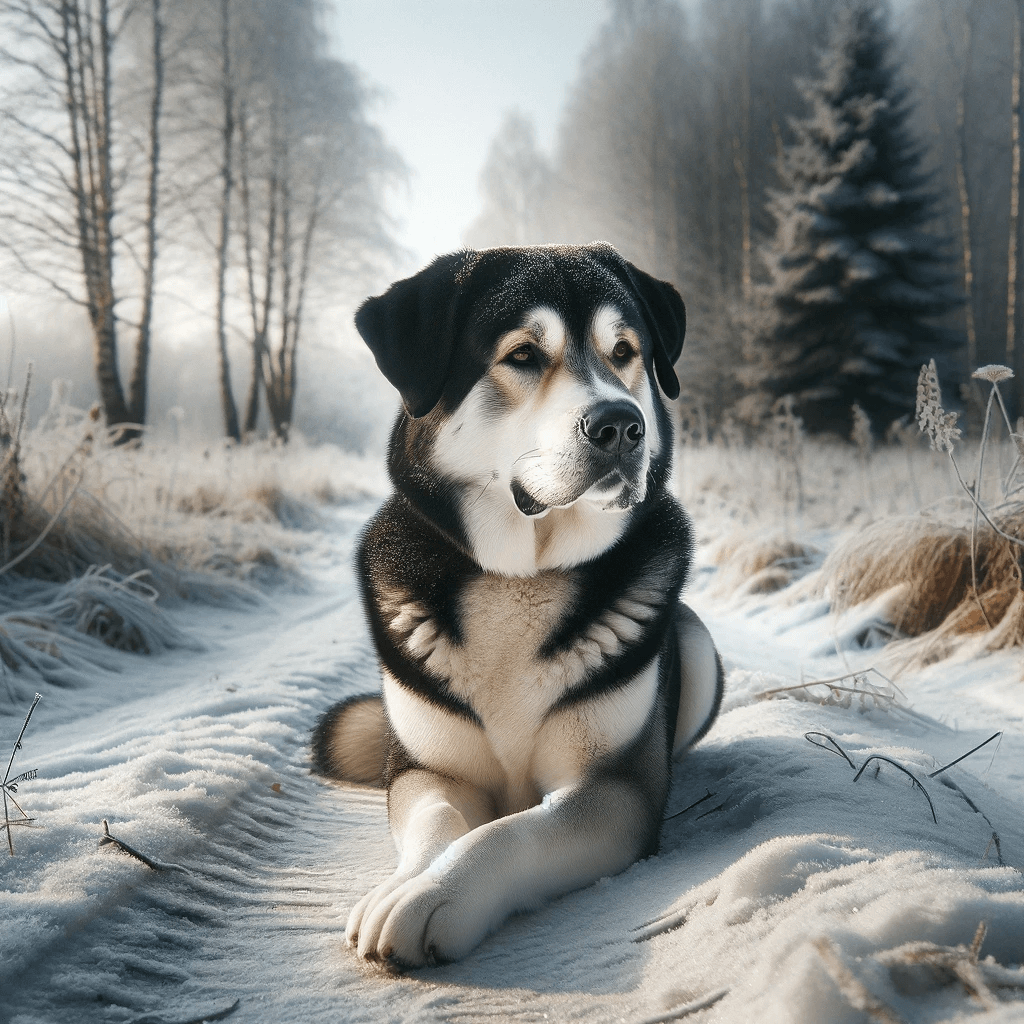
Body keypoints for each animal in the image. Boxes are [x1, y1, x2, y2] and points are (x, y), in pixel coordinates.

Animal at [309, 241, 720, 966]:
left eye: (624, 351)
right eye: (524, 355)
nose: (622, 425)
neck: (519, 577)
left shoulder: (616, 789)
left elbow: (516, 831)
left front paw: (434, 895)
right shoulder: (428, 768)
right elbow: (440, 817)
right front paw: (406, 882)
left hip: (697, 647)